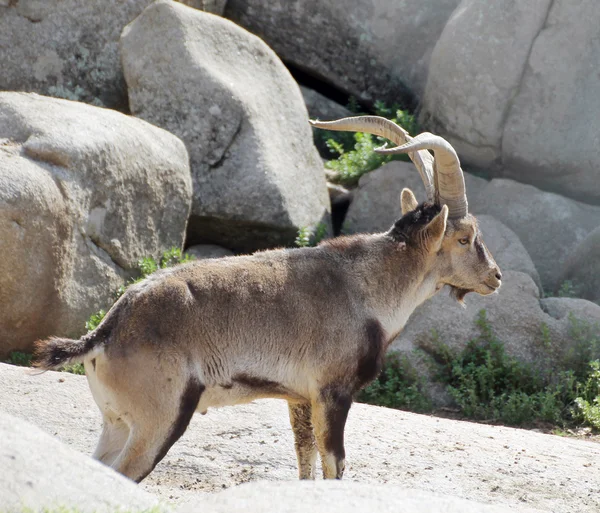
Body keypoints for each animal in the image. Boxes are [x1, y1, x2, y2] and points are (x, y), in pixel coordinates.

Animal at [32, 114, 502, 482]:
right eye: (465, 238)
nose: (495, 277)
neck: (365, 287)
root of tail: (108, 329)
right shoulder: (332, 393)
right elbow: (334, 465)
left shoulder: (299, 398)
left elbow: (305, 462)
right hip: (156, 423)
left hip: (116, 423)